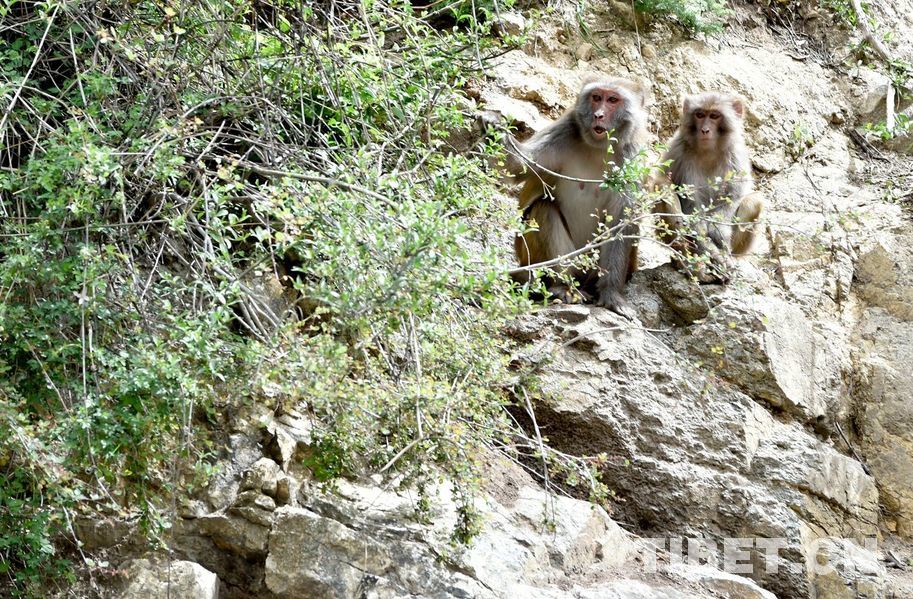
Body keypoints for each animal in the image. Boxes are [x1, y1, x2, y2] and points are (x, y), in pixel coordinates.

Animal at [502, 76, 649, 318]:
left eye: (613, 100)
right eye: (596, 97)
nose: (598, 115)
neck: (599, 148)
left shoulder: (633, 155)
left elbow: (621, 222)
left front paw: (611, 294)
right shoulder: (564, 130)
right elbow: (517, 166)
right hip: (530, 258)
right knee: (543, 209)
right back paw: (564, 286)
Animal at [652, 91, 764, 283]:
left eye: (714, 116)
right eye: (699, 114)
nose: (705, 130)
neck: (709, 150)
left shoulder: (736, 155)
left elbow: (731, 200)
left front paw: (720, 242)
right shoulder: (678, 150)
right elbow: (692, 209)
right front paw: (713, 255)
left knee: (754, 201)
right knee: (663, 187)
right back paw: (689, 264)